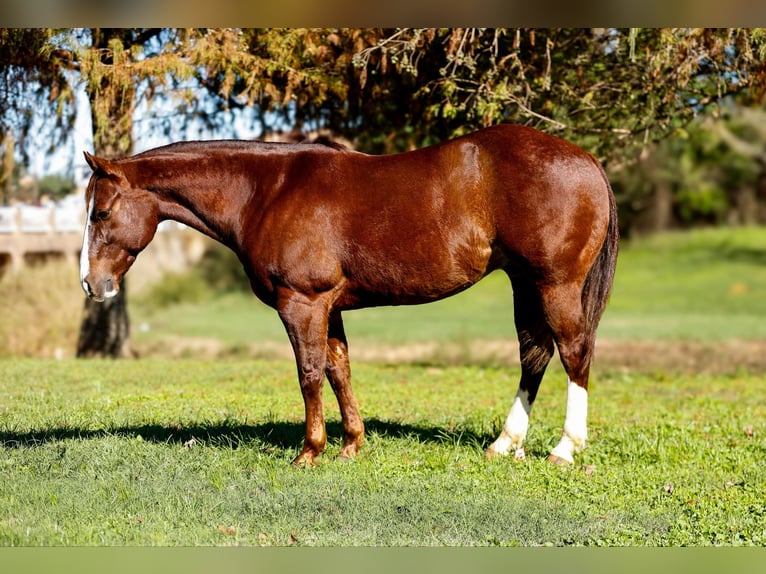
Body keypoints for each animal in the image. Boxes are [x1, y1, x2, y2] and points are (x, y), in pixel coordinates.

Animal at [79, 124, 618, 466]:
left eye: (100, 213)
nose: (91, 283)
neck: (266, 191)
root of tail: (587, 160)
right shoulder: (329, 307)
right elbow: (339, 371)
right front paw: (351, 445)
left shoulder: (302, 303)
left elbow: (309, 374)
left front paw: (309, 451)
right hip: (525, 283)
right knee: (534, 354)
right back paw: (506, 443)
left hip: (554, 285)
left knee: (574, 352)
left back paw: (565, 448)